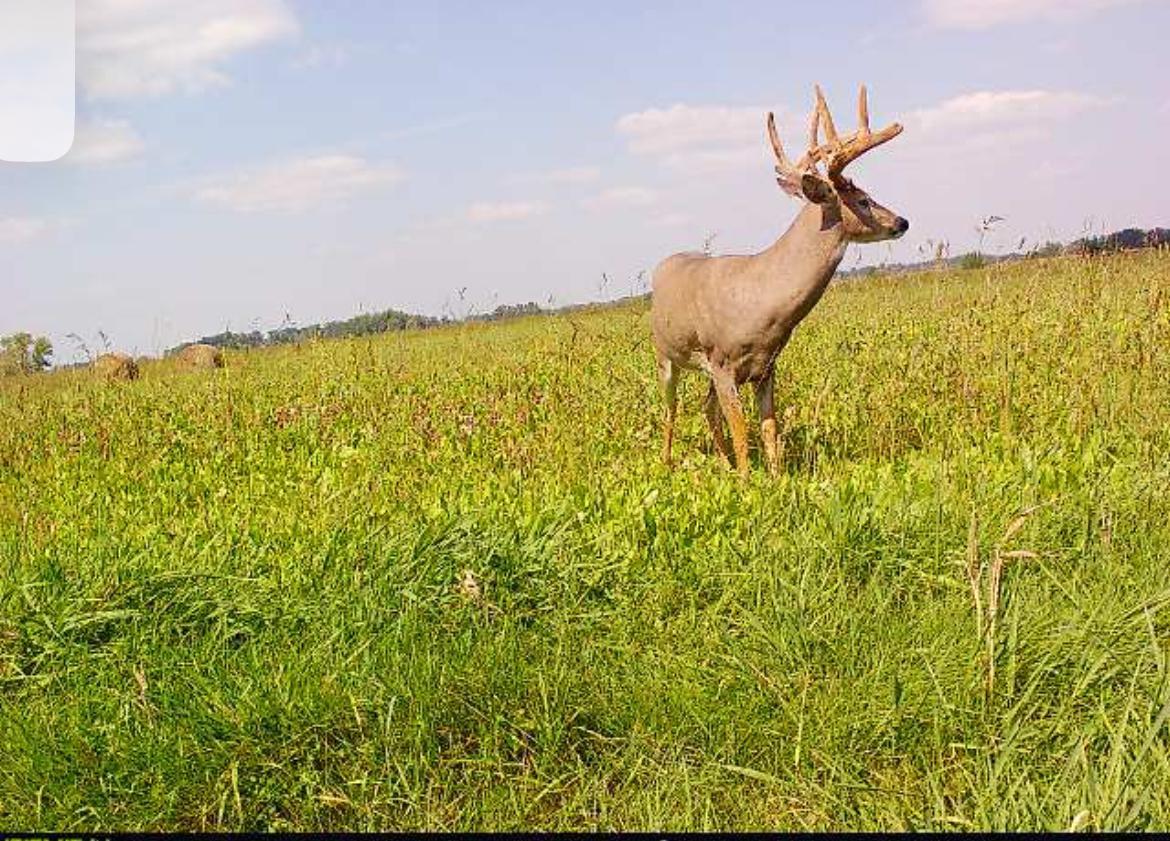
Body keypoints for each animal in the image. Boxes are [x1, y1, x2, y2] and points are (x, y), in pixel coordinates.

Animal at [650, 83, 909, 476]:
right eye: (863, 199)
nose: (901, 221)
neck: (764, 301)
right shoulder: (722, 362)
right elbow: (743, 433)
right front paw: (746, 482)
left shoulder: (766, 366)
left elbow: (769, 429)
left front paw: (775, 478)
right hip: (666, 354)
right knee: (672, 406)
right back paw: (667, 463)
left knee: (706, 408)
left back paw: (722, 464)